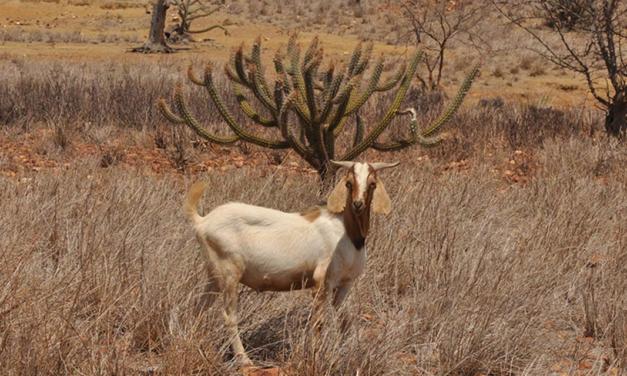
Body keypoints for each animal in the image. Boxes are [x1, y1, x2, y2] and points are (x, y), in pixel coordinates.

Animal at [184, 160, 400, 366]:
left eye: (372, 184)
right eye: (349, 183)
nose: (357, 204)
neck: (347, 232)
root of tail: (202, 221)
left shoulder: (346, 283)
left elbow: (344, 320)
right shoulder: (322, 281)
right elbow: (318, 321)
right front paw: (315, 355)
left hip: (214, 277)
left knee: (198, 308)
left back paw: (196, 343)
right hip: (229, 273)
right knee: (229, 316)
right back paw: (244, 359)